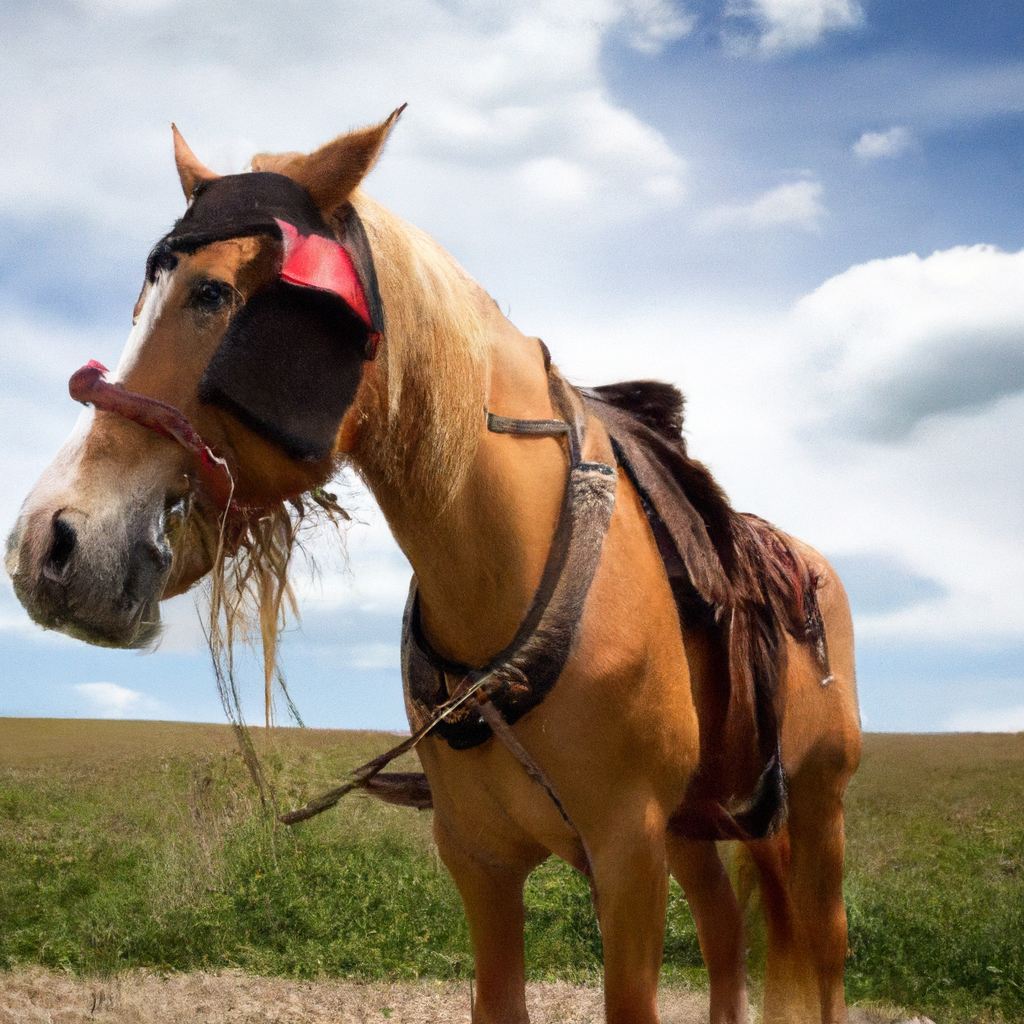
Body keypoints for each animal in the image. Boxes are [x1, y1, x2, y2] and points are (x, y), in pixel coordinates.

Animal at [4, 112, 860, 1024]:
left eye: (213, 293)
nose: (49, 544)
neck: (503, 580)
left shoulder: (629, 850)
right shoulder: (479, 858)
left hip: (814, 807)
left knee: (824, 944)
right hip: (694, 828)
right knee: (726, 928)